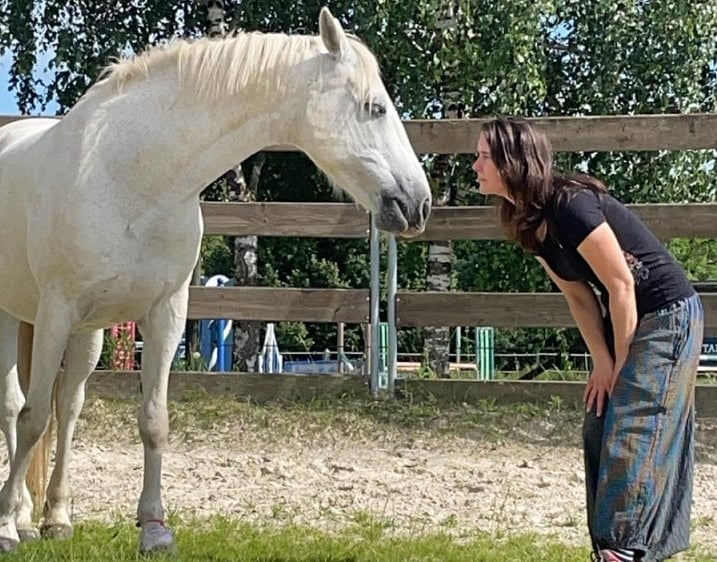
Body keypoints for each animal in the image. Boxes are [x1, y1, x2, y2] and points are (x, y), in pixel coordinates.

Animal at [0, 7, 431, 554]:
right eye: (375, 107)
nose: (419, 204)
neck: (131, 176)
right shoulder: (57, 311)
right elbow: (32, 417)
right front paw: (4, 526)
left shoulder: (165, 312)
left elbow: (152, 420)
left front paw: (155, 528)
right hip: (18, 317)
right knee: (16, 407)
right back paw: (18, 520)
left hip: (87, 333)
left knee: (69, 406)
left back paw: (53, 518)